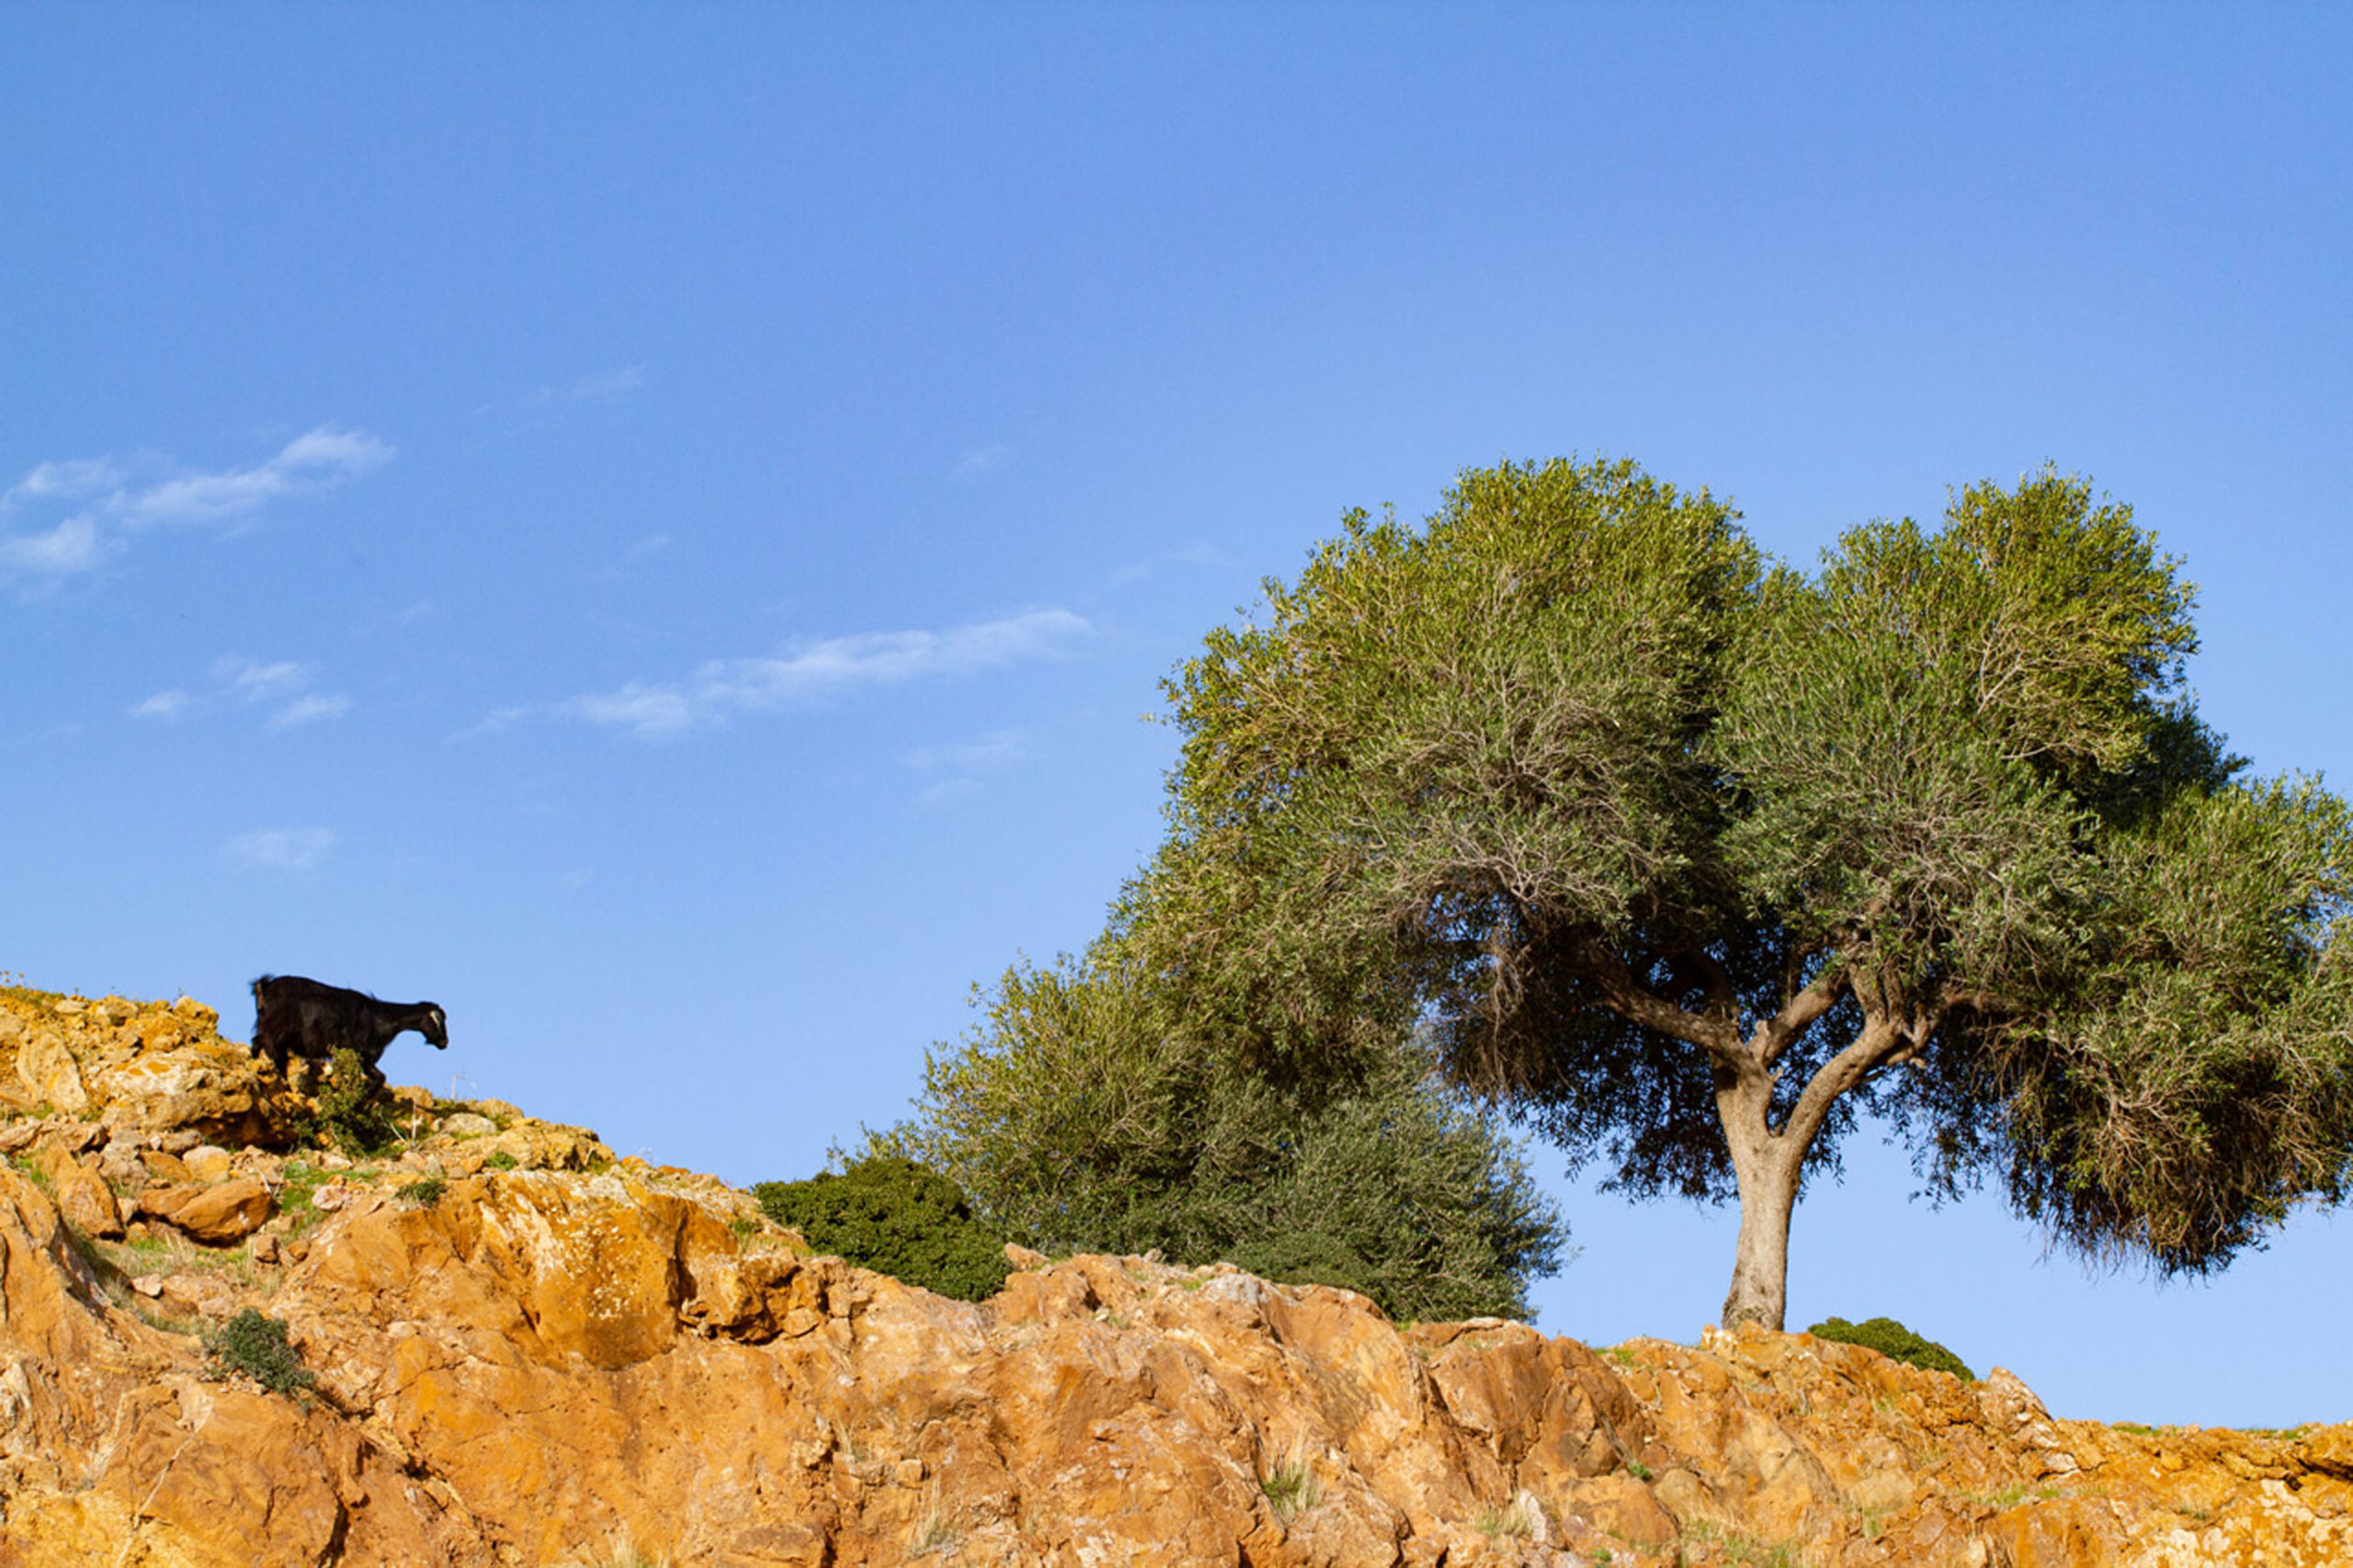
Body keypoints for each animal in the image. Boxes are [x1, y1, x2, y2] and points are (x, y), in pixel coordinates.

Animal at [251, 974, 447, 1093]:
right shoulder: (361, 1056)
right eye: (437, 1020)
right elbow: (379, 1079)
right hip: (276, 1032)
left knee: (258, 1044)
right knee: (274, 1054)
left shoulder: (363, 1060)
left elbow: (379, 1078)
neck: (381, 1018)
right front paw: (360, 1103)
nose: (445, 1042)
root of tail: (266, 988)